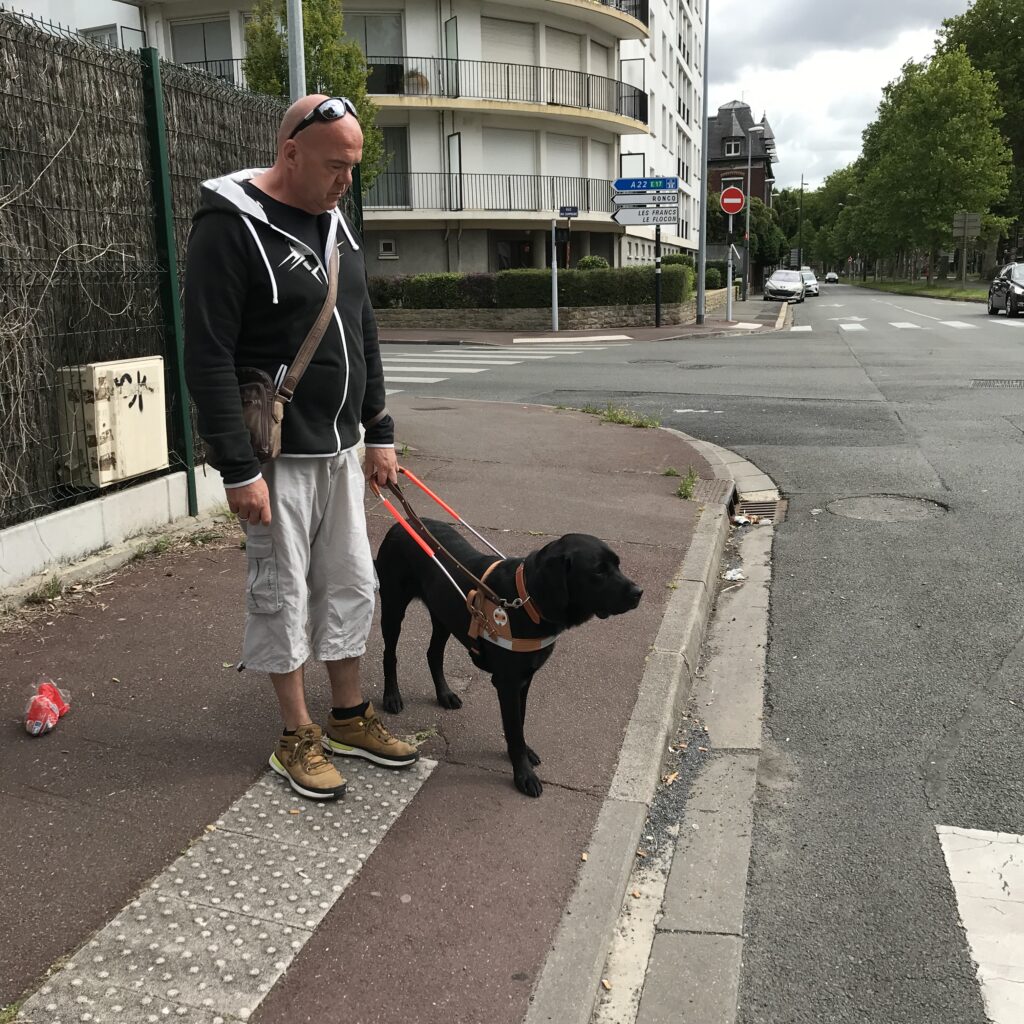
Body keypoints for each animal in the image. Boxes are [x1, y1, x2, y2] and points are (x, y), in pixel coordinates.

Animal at [376, 520, 638, 798]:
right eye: (598, 570)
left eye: (617, 564)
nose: (639, 592)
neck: (528, 601)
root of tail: (399, 525)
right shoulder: (508, 683)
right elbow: (513, 729)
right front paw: (524, 775)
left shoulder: (525, 679)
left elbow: (519, 723)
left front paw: (523, 754)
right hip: (393, 607)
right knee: (389, 654)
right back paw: (392, 696)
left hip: (442, 614)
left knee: (433, 654)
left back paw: (445, 694)